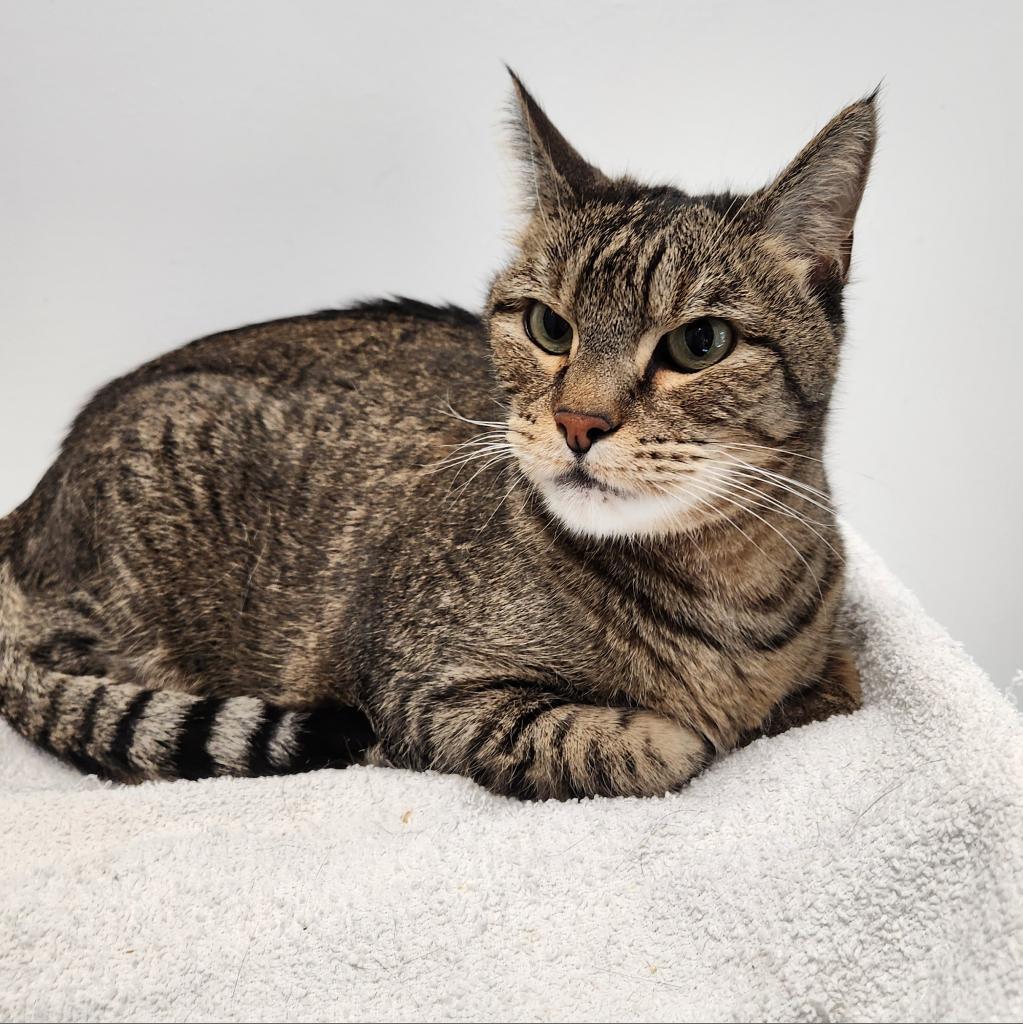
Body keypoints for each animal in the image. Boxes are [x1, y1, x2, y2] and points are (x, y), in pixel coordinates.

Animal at [0, 74, 876, 798]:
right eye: (548, 327)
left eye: (699, 344)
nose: (578, 421)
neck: (724, 591)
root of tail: (29, 509)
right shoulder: (429, 693)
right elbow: (645, 745)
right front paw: (691, 729)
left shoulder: (837, 668)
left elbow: (830, 688)